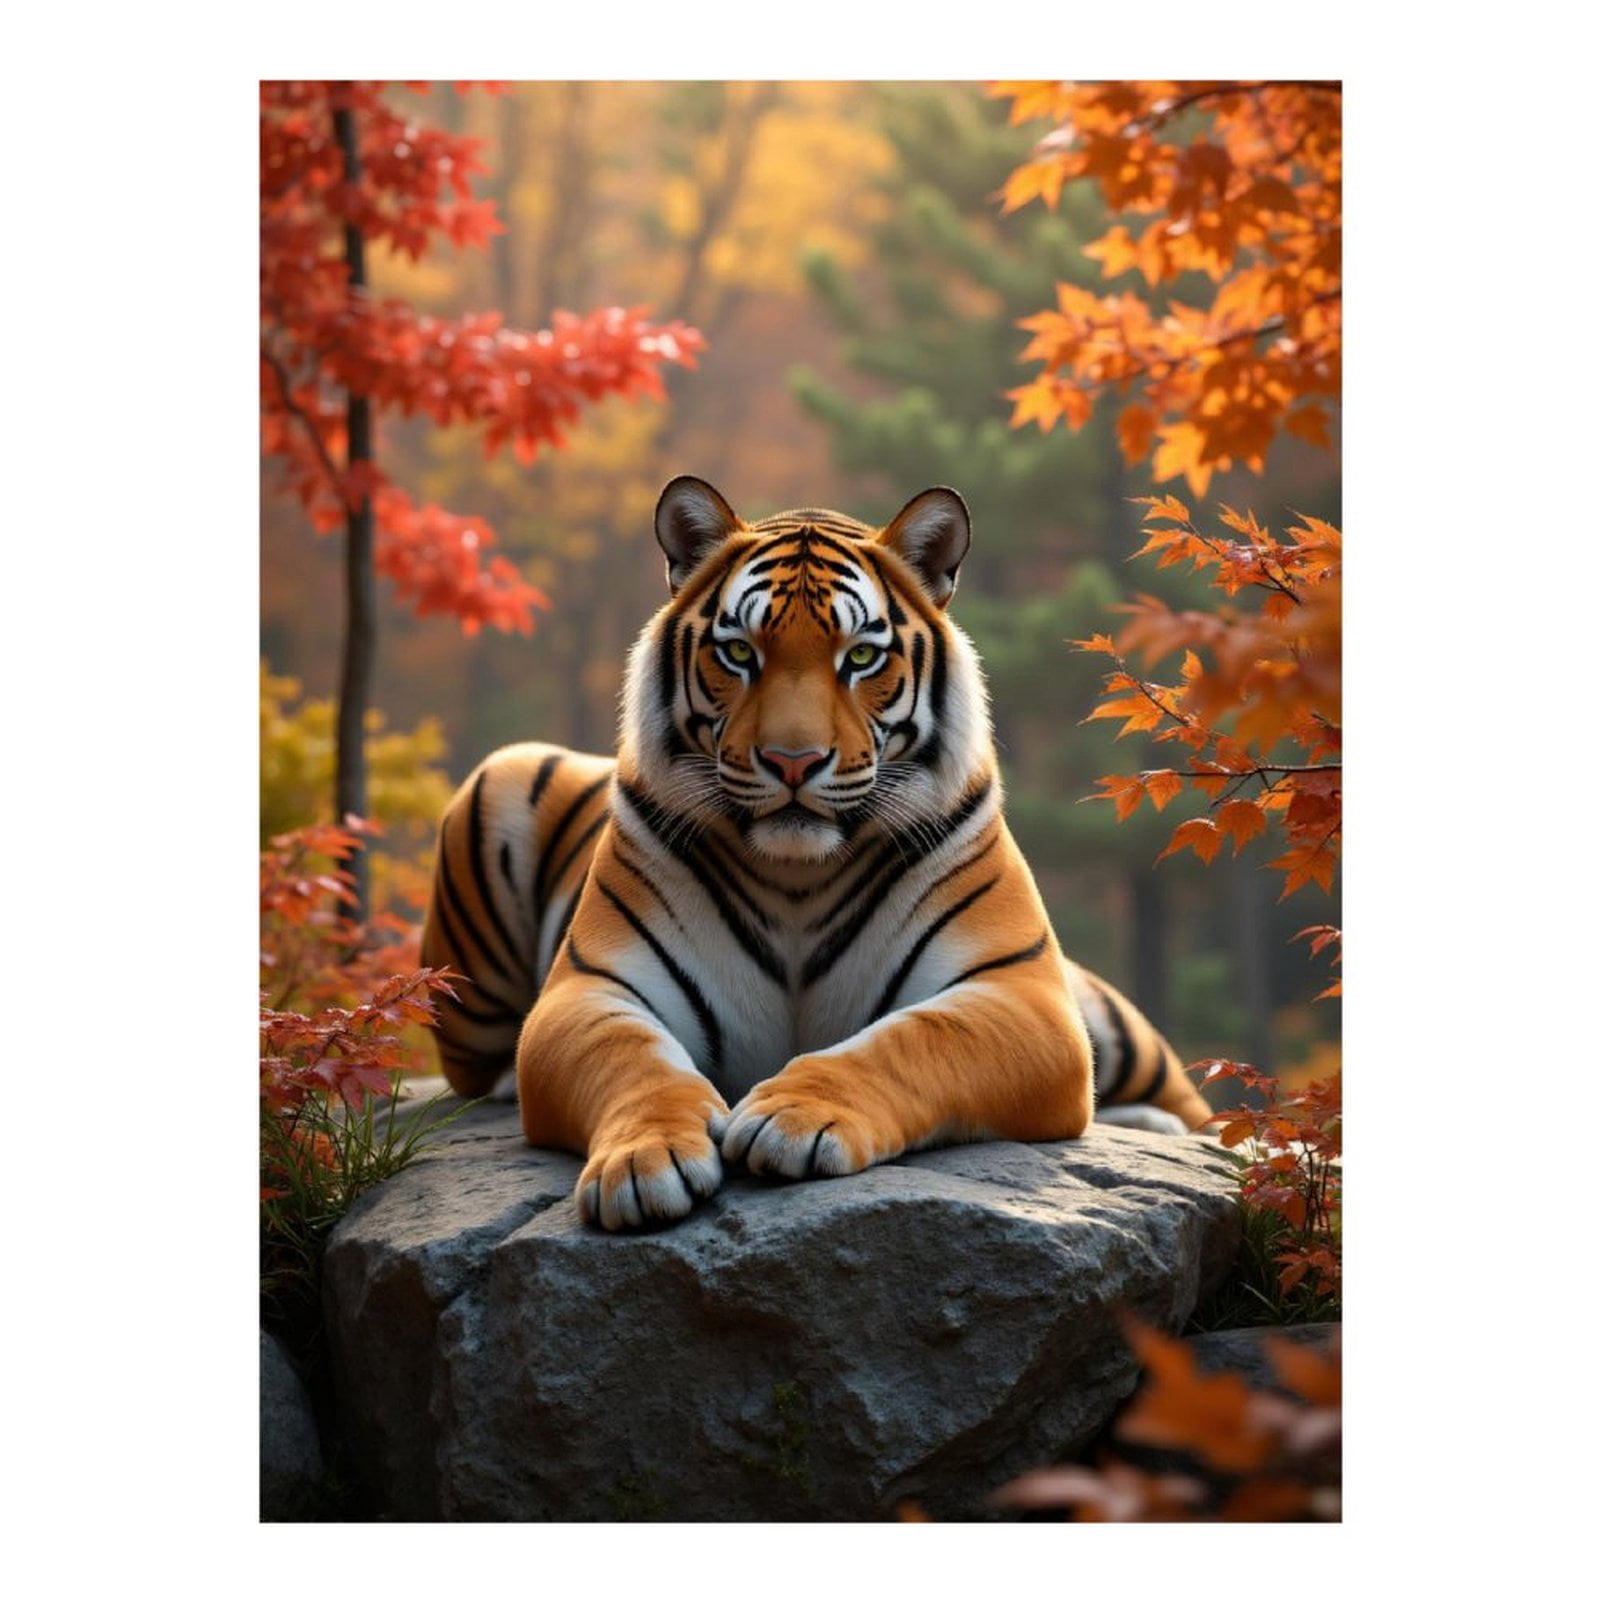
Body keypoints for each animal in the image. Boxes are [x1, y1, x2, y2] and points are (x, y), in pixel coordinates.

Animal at [421, 475, 1213, 1231]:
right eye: (739, 652)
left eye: (860, 656)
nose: (792, 762)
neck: (795, 875)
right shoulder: (591, 990)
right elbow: (633, 1063)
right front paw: (643, 1162)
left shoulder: (1021, 994)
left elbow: (913, 1038)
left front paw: (792, 1116)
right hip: (501, 787)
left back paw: (1165, 1126)